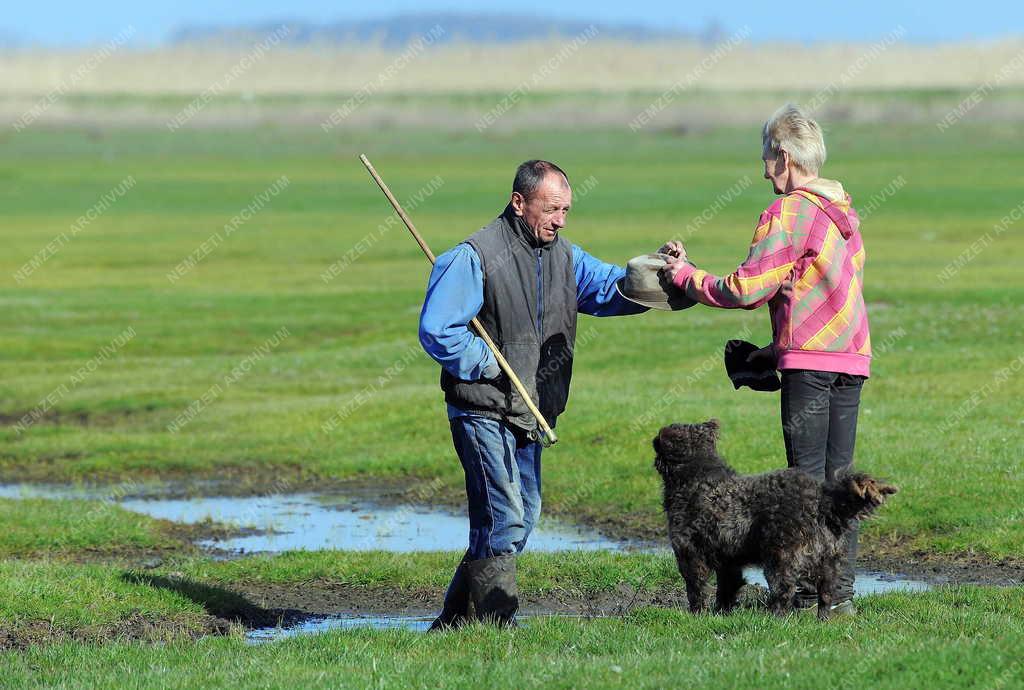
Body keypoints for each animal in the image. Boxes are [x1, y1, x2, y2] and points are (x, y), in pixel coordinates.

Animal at [655, 419, 897, 618]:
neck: (700, 475)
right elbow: (727, 588)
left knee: (784, 591)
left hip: (781, 557)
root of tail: (822, 499)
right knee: (827, 594)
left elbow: (696, 588)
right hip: (829, 562)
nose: (654, 440)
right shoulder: (728, 559)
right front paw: (721, 613)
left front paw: (696, 614)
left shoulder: (689, 552)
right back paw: (823, 619)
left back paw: (774, 617)